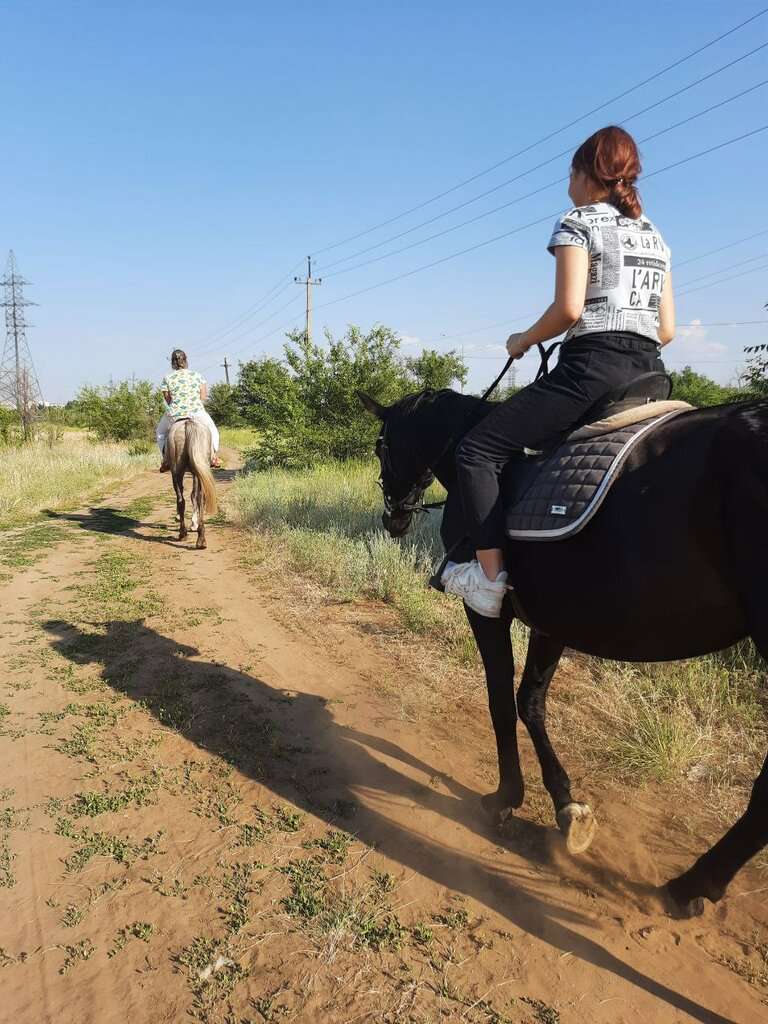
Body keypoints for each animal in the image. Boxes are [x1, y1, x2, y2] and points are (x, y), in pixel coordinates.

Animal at [166, 415, 218, 548]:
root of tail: (188, 424)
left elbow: (190, 496)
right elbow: (194, 495)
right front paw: (194, 524)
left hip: (177, 471)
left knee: (182, 500)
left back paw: (183, 533)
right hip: (198, 467)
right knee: (199, 498)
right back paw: (201, 538)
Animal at [360, 387, 768, 917]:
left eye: (380, 445)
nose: (393, 516)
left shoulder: (489, 611)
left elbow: (499, 699)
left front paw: (505, 797)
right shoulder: (551, 621)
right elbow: (530, 702)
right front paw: (566, 805)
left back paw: (692, 884)